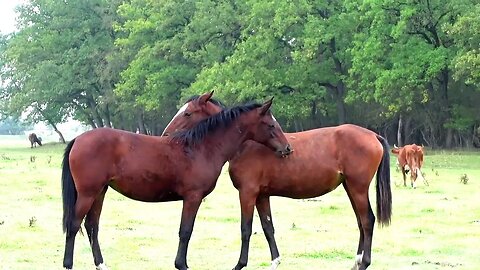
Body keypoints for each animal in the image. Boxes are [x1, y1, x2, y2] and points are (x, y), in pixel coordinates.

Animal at [61, 99, 290, 270]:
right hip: (88, 193)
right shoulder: (192, 197)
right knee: (74, 225)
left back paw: (101, 264)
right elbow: (185, 231)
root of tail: (78, 139)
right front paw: (182, 264)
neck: (201, 148)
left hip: (100, 192)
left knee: (92, 226)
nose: (287, 148)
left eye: (187, 113)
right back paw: (68, 264)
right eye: (271, 125)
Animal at [163, 93, 392, 270]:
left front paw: (239, 264)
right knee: (361, 222)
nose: (166, 135)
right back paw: (357, 261)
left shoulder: (247, 192)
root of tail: (373, 135)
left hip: (358, 188)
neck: (247, 144)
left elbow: (246, 228)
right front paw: (275, 261)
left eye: (187, 113)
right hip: (350, 188)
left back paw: (364, 262)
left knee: (367, 220)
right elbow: (268, 227)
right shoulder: (262, 195)